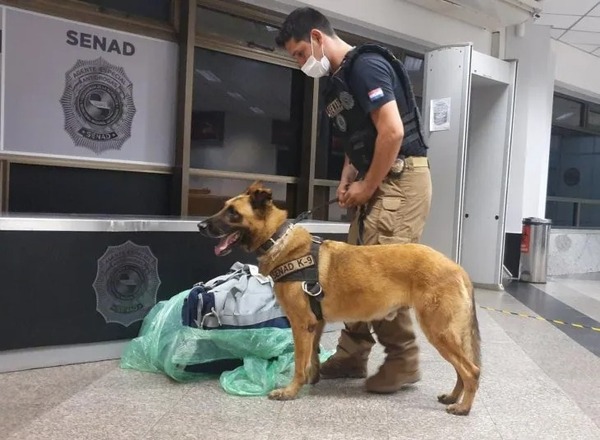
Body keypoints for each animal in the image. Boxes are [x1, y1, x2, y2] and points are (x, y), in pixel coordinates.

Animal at [199, 180, 480, 414]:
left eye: (233, 212)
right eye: (224, 207)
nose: (200, 225)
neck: (278, 240)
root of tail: (458, 268)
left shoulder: (301, 324)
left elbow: (299, 362)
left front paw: (291, 391)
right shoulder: (316, 324)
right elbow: (311, 357)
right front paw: (312, 380)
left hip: (439, 330)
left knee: (472, 370)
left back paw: (463, 407)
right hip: (448, 333)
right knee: (461, 369)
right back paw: (453, 397)